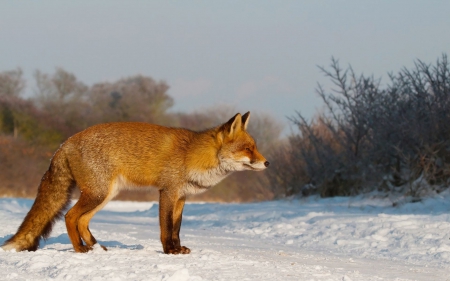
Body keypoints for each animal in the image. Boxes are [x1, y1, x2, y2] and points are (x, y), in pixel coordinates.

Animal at [1, 111, 268, 254]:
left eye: (255, 147)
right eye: (248, 149)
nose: (267, 163)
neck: (194, 155)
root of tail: (65, 142)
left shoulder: (181, 197)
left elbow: (177, 228)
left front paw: (179, 249)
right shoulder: (167, 192)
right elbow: (166, 228)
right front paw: (170, 251)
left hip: (105, 194)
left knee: (82, 220)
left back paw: (98, 248)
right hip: (97, 194)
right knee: (70, 217)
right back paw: (81, 250)